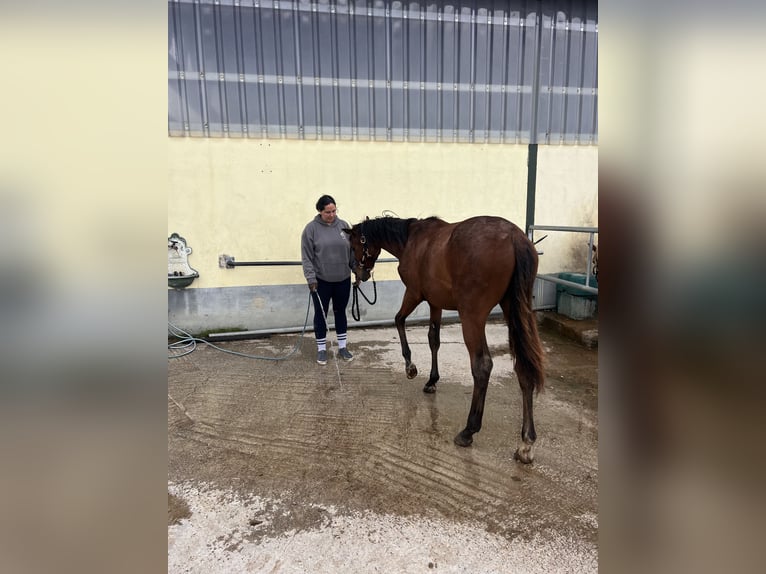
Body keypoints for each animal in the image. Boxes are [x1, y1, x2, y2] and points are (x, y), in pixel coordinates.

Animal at [342, 216, 544, 464]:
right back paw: (526, 442)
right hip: (515, 311)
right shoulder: (435, 303)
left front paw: (410, 367)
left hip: (472, 316)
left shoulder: (414, 294)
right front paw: (432, 380)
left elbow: (399, 320)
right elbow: (433, 339)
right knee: (524, 368)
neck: (411, 239)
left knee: (482, 366)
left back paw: (469, 430)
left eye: (354, 246)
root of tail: (514, 237)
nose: (359, 275)